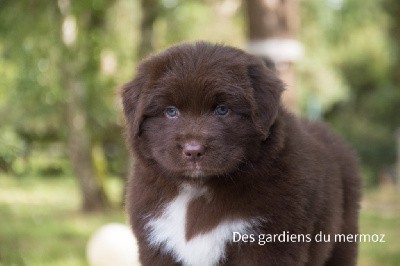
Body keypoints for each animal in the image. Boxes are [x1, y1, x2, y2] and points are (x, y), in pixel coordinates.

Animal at [120, 42, 360, 266]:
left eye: (222, 109)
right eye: (171, 111)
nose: (193, 150)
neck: (198, 190)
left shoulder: (268, 244)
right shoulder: (156, 242)